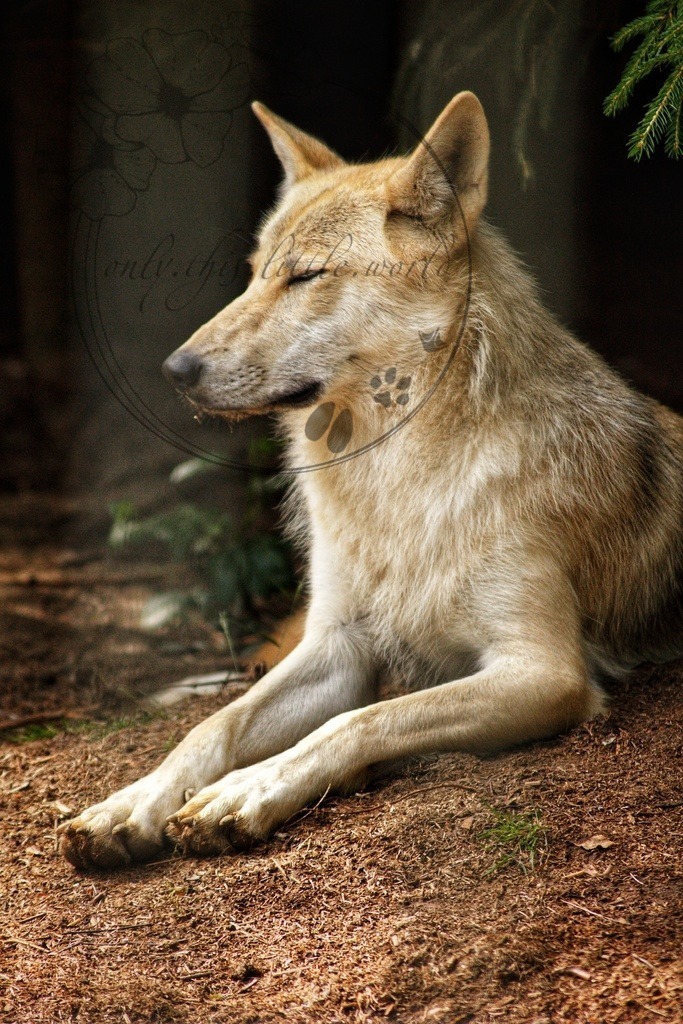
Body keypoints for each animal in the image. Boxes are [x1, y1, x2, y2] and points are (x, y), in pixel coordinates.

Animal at [60, 92, 683, 869]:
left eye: (305, 276)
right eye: (254, 271)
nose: (176, 370)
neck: (391, 478)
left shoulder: (545, 673)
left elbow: (358, 720)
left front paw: (246, 792)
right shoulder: (336, 645)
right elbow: (213, 727)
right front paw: (131, 803)